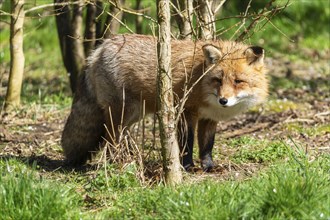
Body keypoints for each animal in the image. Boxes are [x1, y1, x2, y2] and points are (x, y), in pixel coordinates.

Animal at [62, 34, 268, 171]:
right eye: (218, 80)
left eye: (238, 81)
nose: (223, 100)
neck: (200, 81)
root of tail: (101, 47)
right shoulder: (186, 111)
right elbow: (187, 143)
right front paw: (187, 166)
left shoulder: (209, 118)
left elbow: (207, 145)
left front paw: (208, 166)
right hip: (121, 112)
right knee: (110, 138)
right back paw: (118, 163)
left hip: (134, 114)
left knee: (118, 137)